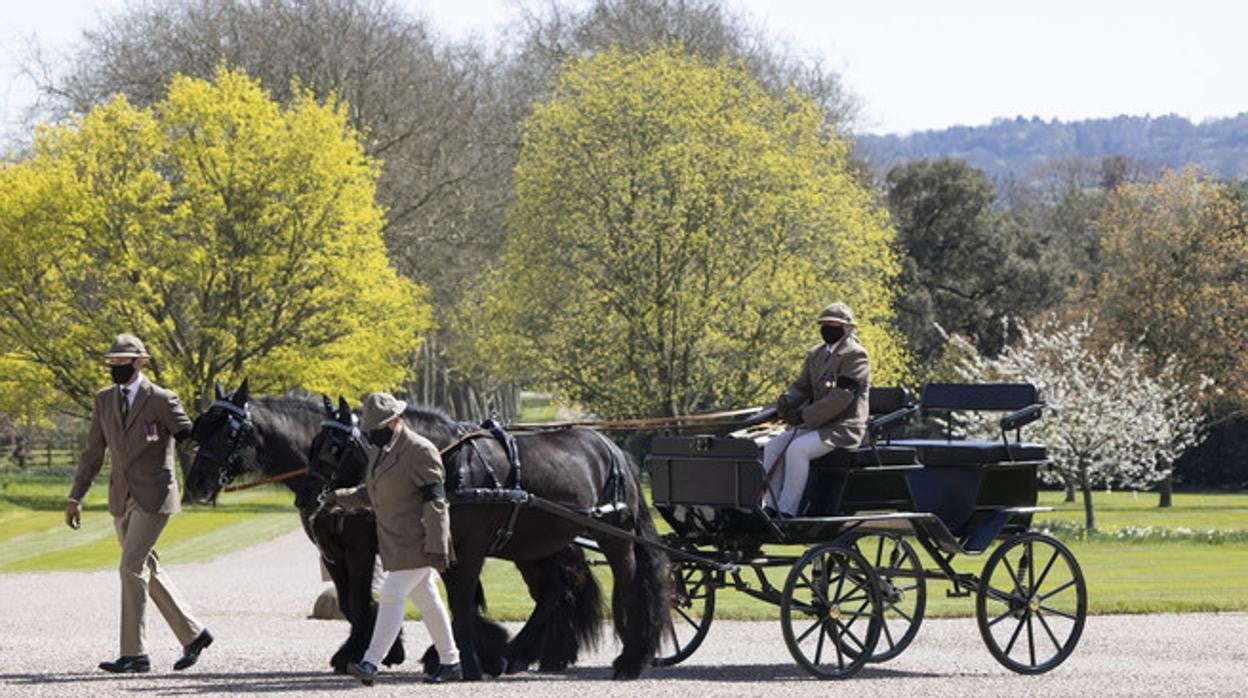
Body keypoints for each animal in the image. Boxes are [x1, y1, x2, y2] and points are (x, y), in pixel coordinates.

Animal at [180, 379, 401, 674]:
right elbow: (348, 603)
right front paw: (370, 648)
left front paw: (368, 650)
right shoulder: (331, 553)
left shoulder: (361, 549)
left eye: (229, 434)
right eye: (201, 427)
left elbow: (360, 601)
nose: (196, 483)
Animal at [321, 402, 673, 679]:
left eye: (336, 448)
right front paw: (459, 658)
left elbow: (462, 602)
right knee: (554, 592)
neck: (452, 461)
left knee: (626, 587)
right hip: (539, 545)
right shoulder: (444, 545)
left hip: (614, 537)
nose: (323, 500)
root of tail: (613, 449)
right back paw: (518, 654)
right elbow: (454, 602)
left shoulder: (471, 546)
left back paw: (630, 659)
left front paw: (468, 664)